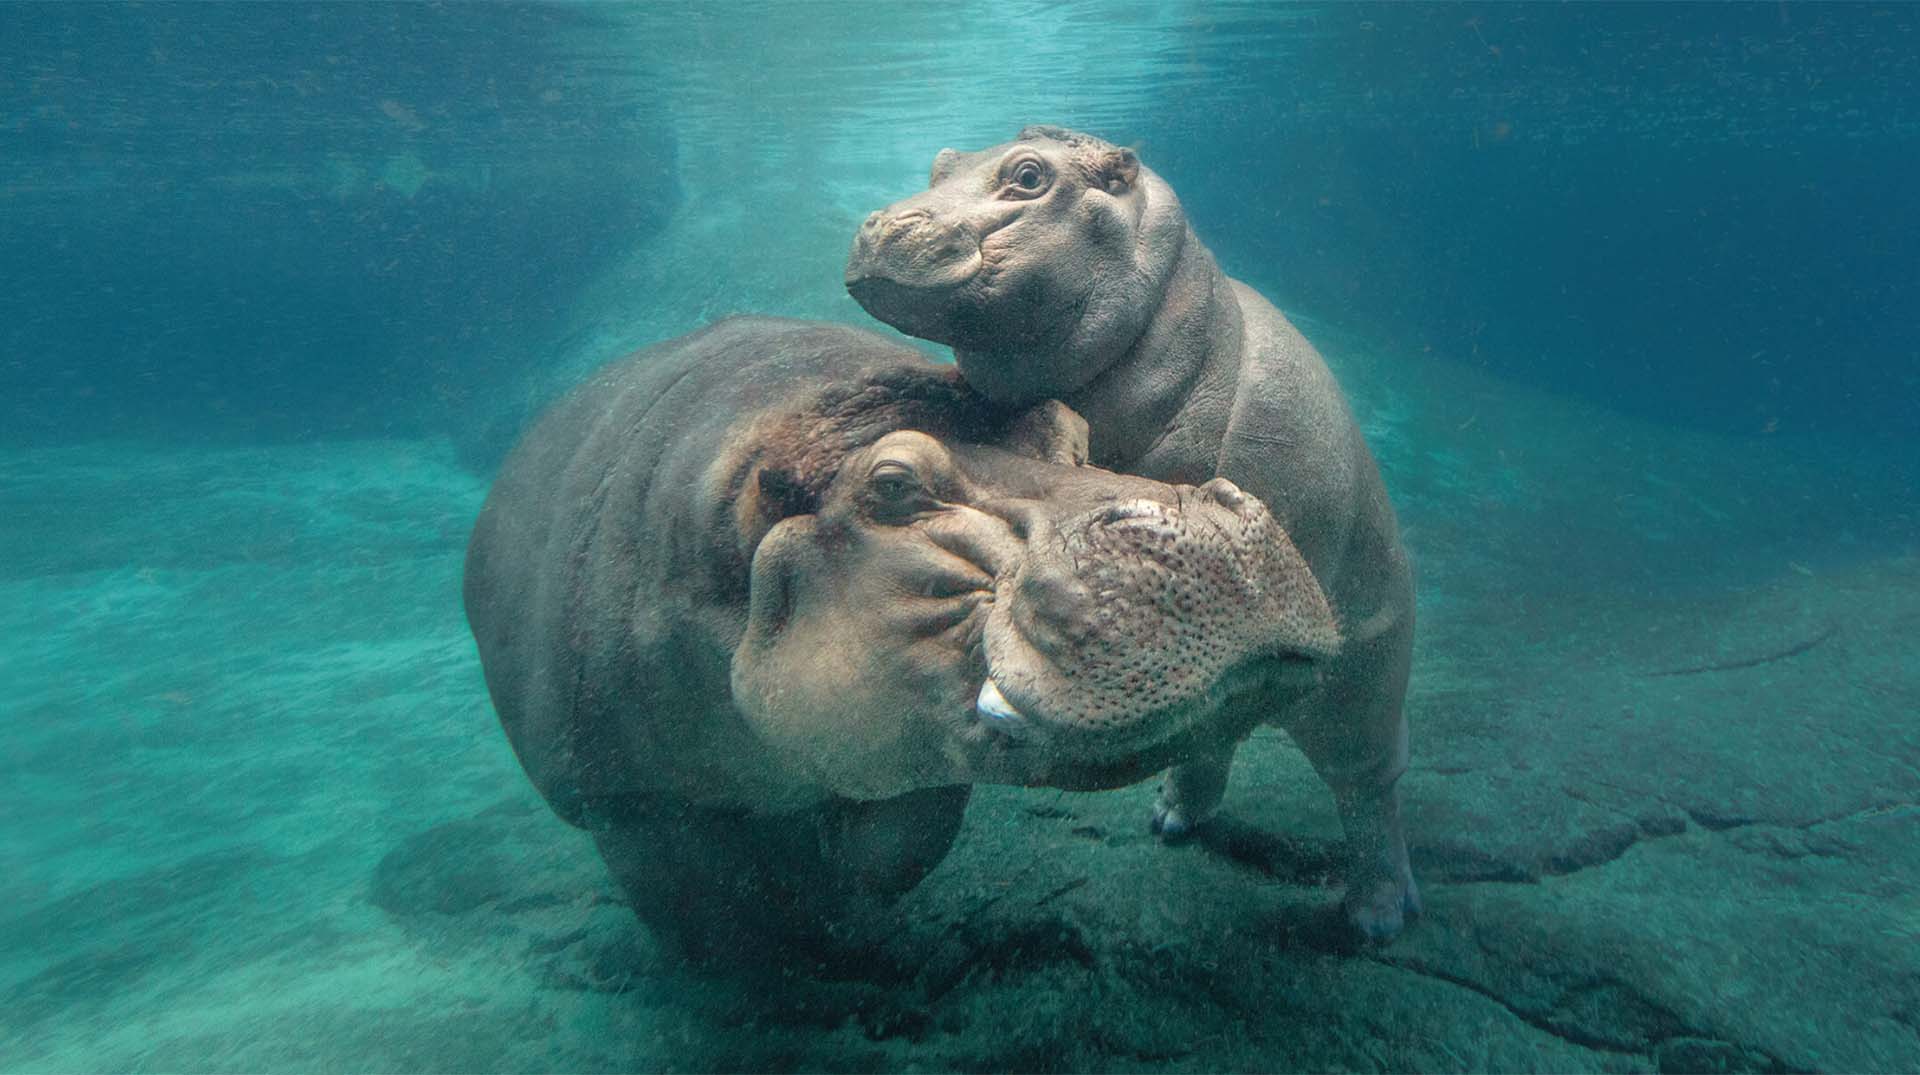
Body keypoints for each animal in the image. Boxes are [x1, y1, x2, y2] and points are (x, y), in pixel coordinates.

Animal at [462, 316, 1336, 955]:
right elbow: (716, 920)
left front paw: (838, 894)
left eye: (1071, 426)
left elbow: (905, 843)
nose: (1202, 519)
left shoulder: (904, 734)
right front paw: (794, 935)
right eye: (891, 485)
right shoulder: (622, 798)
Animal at [848, 125, 1420, 940]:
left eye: (1030, 175)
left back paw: (1377, 915)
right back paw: (1172, 820)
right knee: (1216, 726)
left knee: (1367, 780)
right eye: (941, 164)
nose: (880, 225)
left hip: (1364, 672)